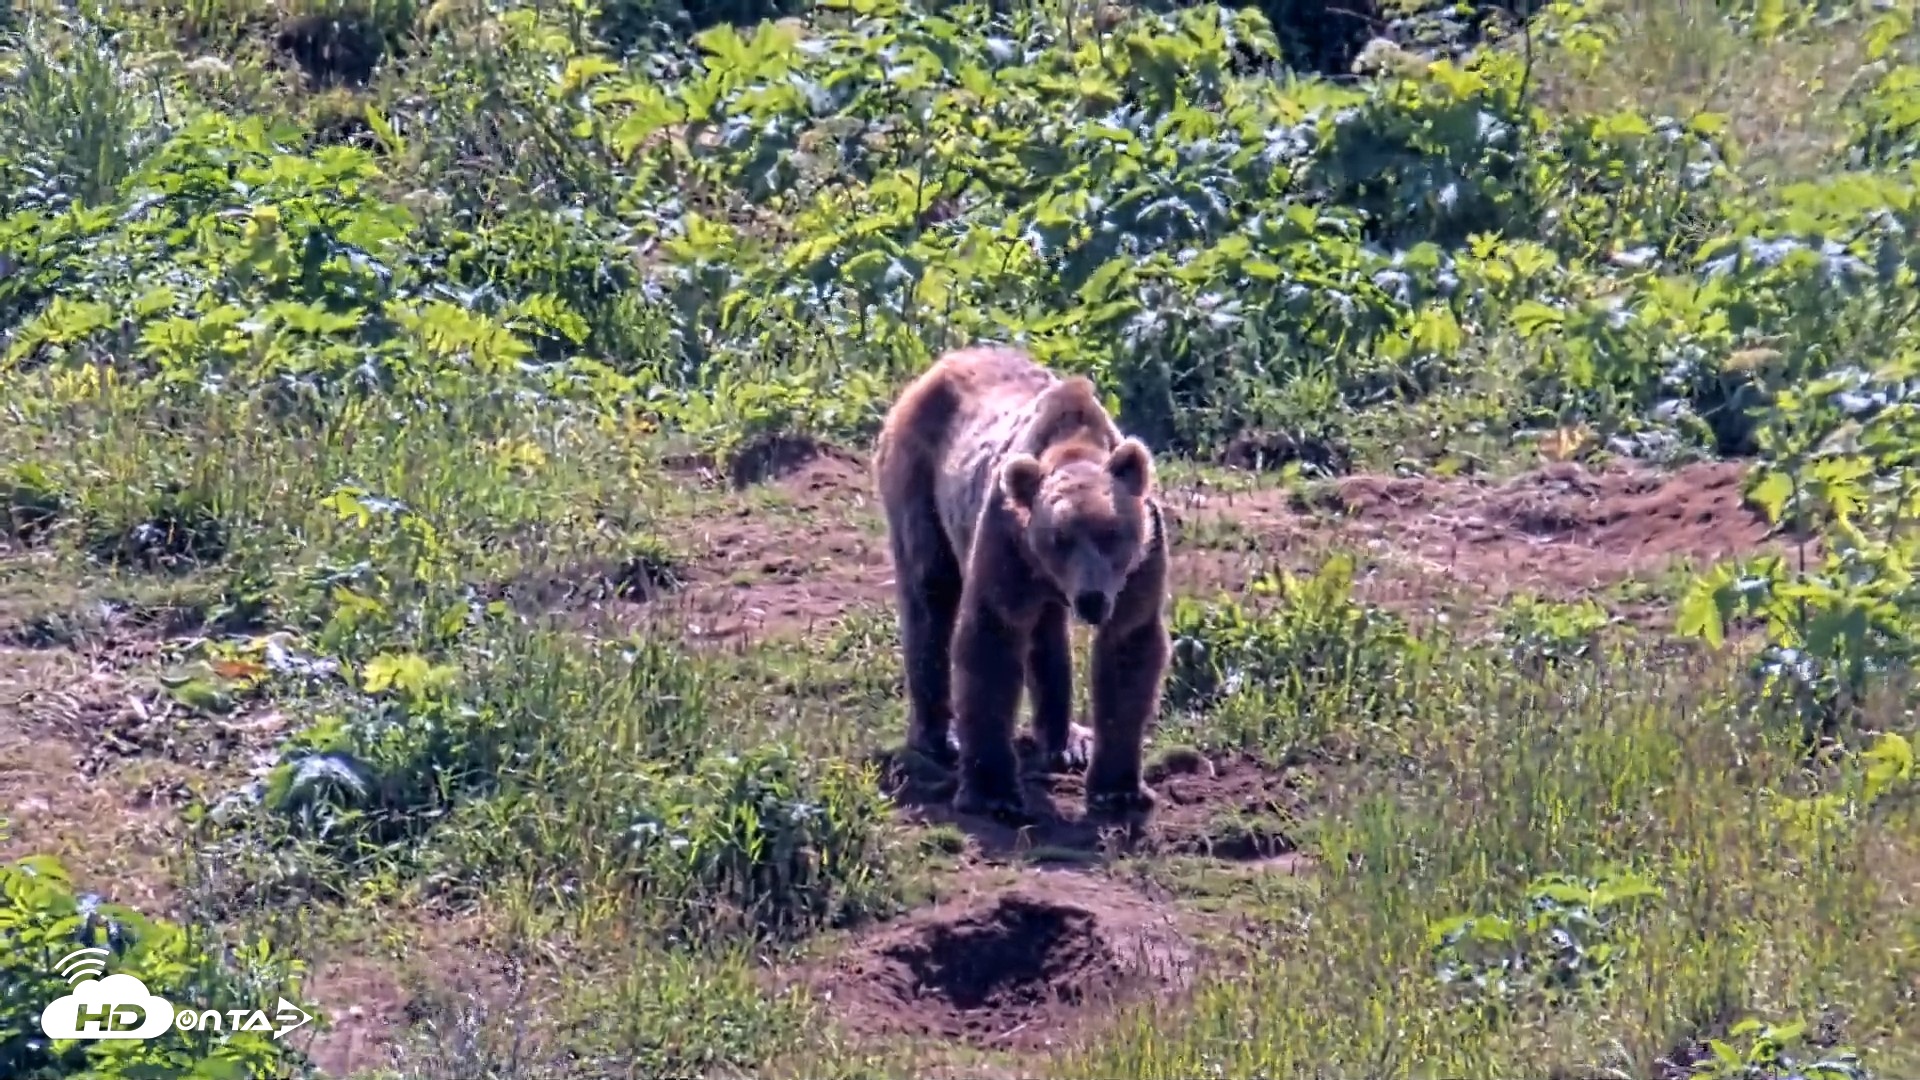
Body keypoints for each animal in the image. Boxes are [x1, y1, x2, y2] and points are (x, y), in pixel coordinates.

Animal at [871, 344, 1171, 823]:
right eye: (1059, 538)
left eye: (1111, 533)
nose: (1091, 599)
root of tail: (946, 360)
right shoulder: (1006, 543)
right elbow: (992, 638)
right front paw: (992, 792)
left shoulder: (1140, 562)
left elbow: (1128, 647)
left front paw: (1119, 790)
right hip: (918, 481)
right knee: (928, 593)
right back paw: (938, 737)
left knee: (1045, 631)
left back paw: (1067, 741)